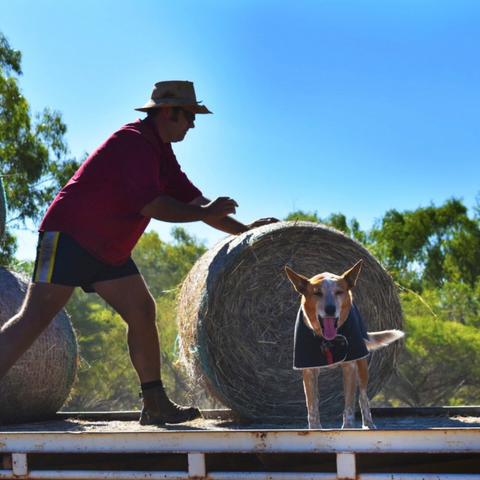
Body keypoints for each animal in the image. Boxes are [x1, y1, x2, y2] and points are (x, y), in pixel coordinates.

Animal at [284, 260, 404, 430]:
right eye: (317, 293)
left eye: (339, 292)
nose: (330, 309)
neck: (326, 338)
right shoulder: (308, 369)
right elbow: (312, 405)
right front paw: (315, 429)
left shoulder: (350, 366)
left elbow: (349, 403)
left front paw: (348, 427)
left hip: (362, 366)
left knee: (363, 397)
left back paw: (369, 423)